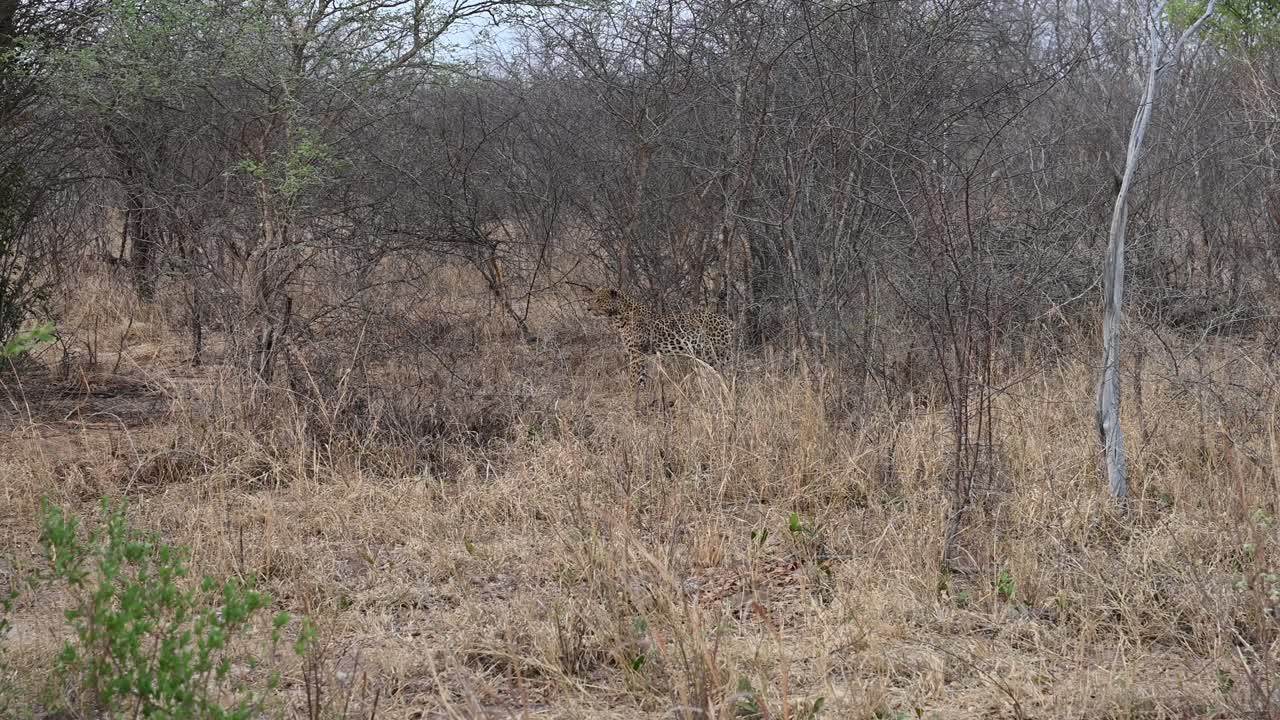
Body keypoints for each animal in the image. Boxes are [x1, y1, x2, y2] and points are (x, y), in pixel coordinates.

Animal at [580, 286, 735, 388]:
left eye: (599, 300)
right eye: (593, 299)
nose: (588, 309)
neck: (619, 316)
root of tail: (729, 321)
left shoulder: (636, 353)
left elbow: (632, 380)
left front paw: (630, 400)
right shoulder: (642, 354)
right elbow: (641, 380)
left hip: (717, 355)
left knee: (730, 375)